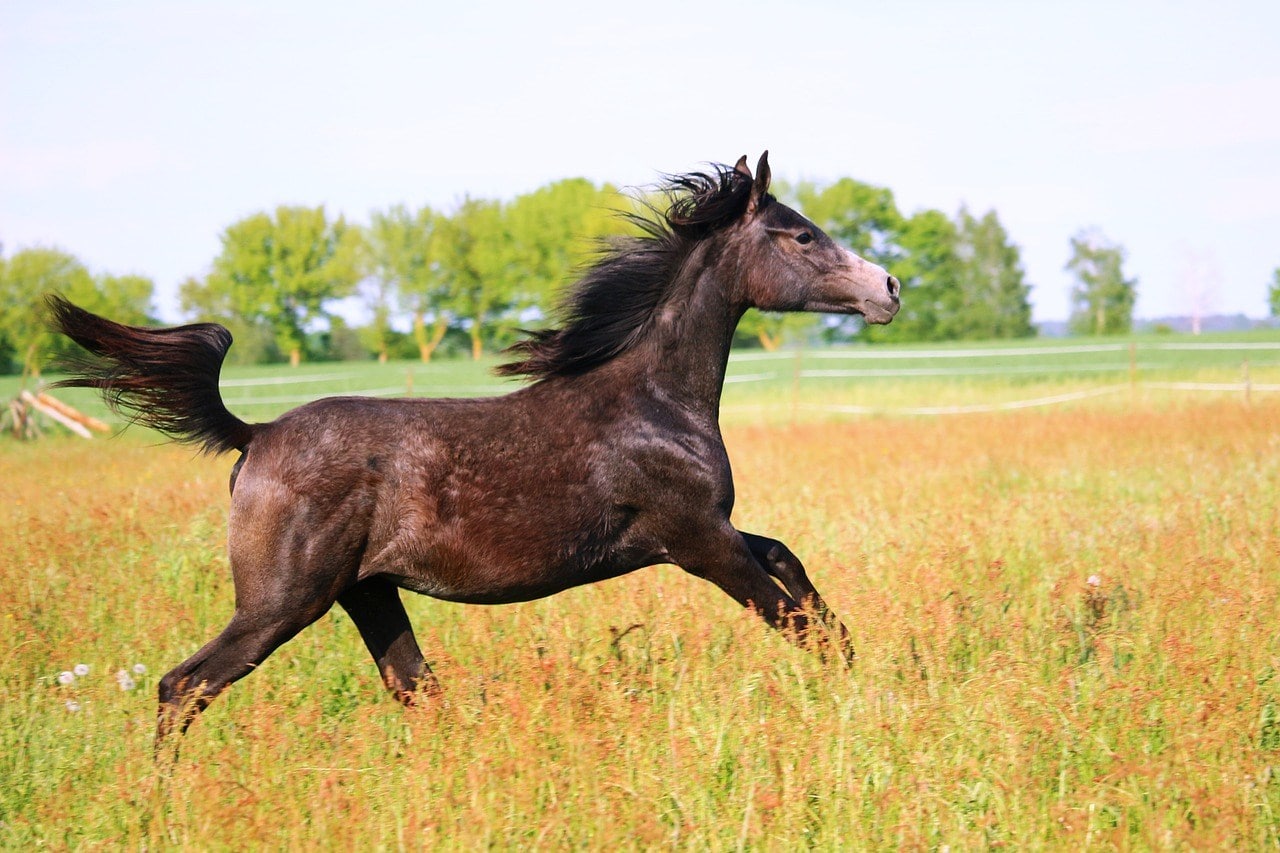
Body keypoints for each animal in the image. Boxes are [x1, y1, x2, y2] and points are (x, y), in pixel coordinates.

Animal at [49, 152, 900, 746]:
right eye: (801, 234)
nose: (888, 288)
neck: (651, 402)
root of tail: (252, 435)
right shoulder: (695, 539)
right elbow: (791, 618)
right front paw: (858, 698)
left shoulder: (704, 531)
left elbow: (791, 565)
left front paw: (868, 666)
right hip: (281, 603)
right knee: (182, 685)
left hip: (367, 592)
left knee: (414, 687)